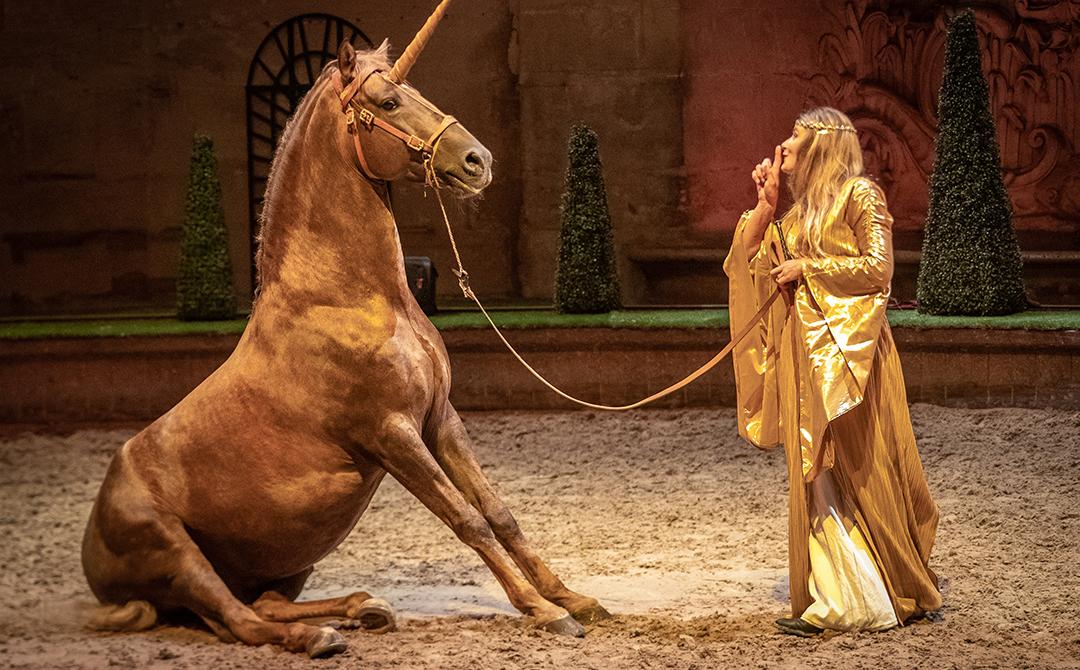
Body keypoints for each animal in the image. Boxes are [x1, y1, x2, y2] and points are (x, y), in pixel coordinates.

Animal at [82, 10, 609, 661]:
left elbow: (498, 511)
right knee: (239, 620)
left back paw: (365, 608)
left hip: (284, 561)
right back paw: (318, 635)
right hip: (177, 552)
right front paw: (542, 611)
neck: (348, 299)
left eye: (416, 91)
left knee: (259, 604)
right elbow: (467, 519)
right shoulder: (391, 434)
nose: (477, 160)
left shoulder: (440, 418)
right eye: (388, 101)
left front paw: (572, 598)